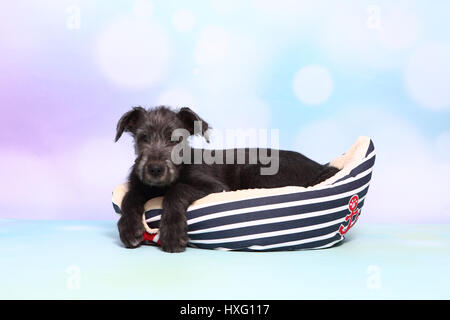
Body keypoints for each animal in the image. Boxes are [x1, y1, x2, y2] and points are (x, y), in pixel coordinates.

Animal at [114, 107, 340, 252]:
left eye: (176, 139)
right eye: (143, 138)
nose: (155, 169)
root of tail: (320, 166)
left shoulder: (214, 187)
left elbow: (176, 191)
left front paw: (172, 232)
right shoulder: (139, 186)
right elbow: (129, 198)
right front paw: (129, 228)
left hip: (255, 169)